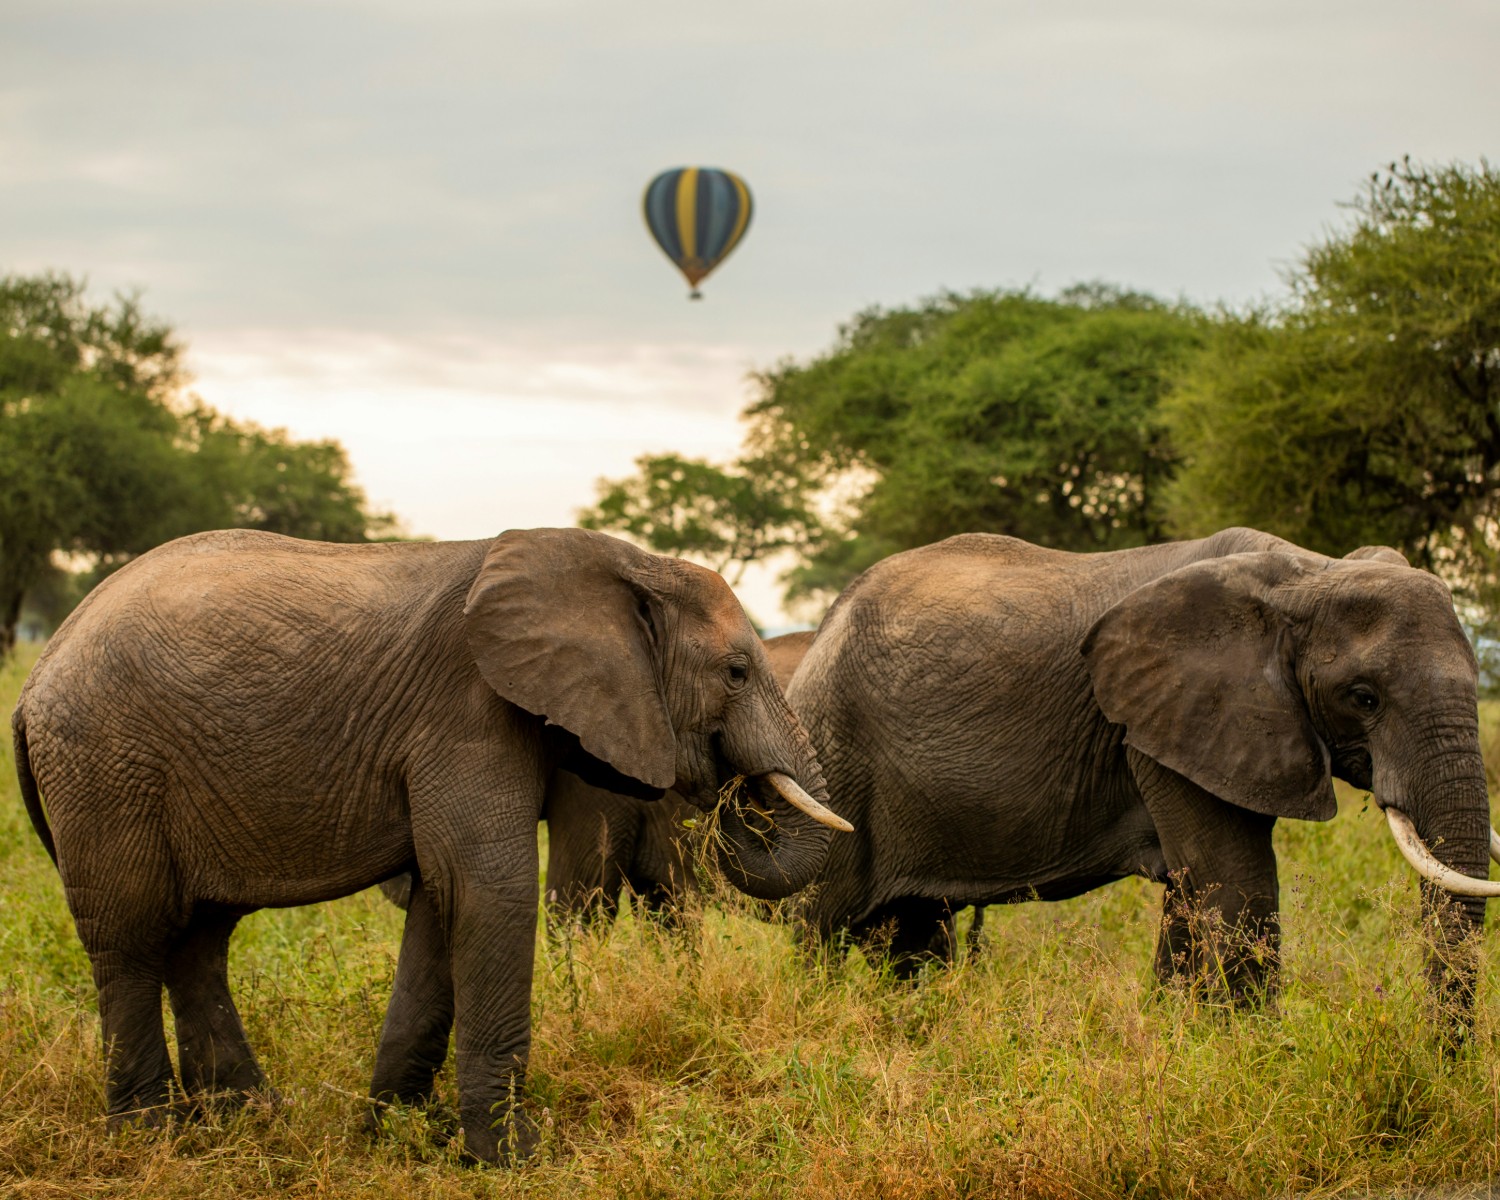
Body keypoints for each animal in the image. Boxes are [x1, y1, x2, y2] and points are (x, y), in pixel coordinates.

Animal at [12, 526, 850, 1163]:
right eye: (736, 672)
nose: (731, 793)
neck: (619, 561)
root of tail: (37, 673)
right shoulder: (469, 713)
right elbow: (490, 890)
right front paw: (516, 1155)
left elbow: (438, 905)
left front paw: (400, 1134)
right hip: (105, 769)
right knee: (130, 938)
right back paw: (153, 1138)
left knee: (200, 937)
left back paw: (252, 1118)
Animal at [786, 526, 1500, 1011]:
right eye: (1364, 698)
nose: (1443, 1059)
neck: (1305, 573)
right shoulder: (1169, 720)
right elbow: (1236, 885)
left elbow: (1193, 893)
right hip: (832, 764)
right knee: (820, 931)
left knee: (915, 931)